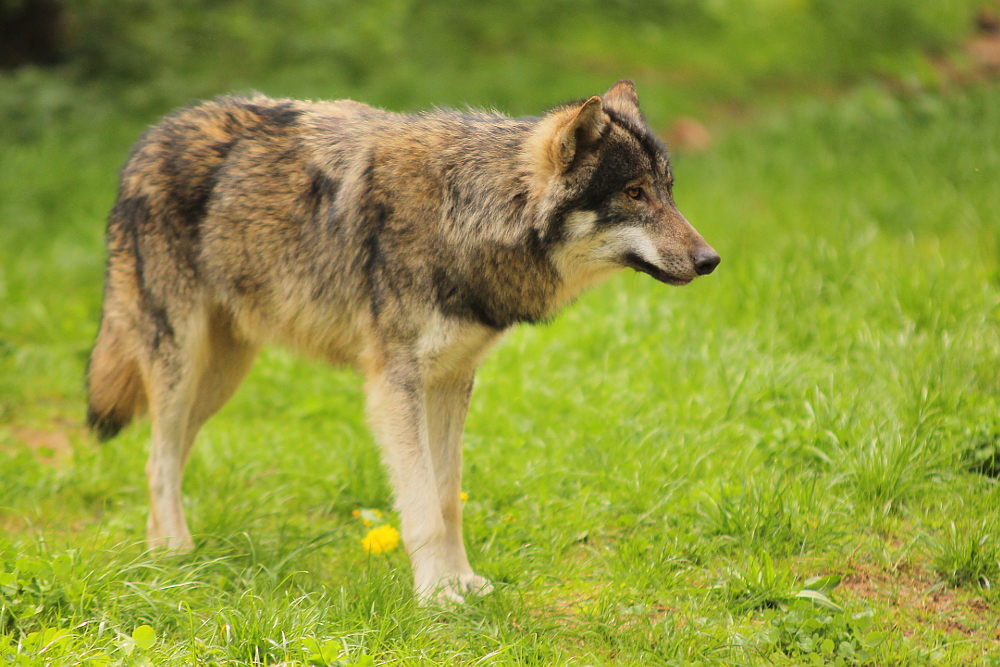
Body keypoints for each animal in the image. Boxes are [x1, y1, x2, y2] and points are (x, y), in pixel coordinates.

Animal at [86, 80, 720, 603]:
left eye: (667, 190)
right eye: (634, 193)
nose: (710, 260)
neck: (471, 212)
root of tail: (149, 137)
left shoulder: (452, 380)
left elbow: (447, 498)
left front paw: (464, 582)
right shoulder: (395, 386)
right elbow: (421, 507)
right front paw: (437, 596)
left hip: (221, 378)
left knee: (164, 453)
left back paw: (165, 555)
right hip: (182, 362)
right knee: (158, 458)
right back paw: (174, 556)